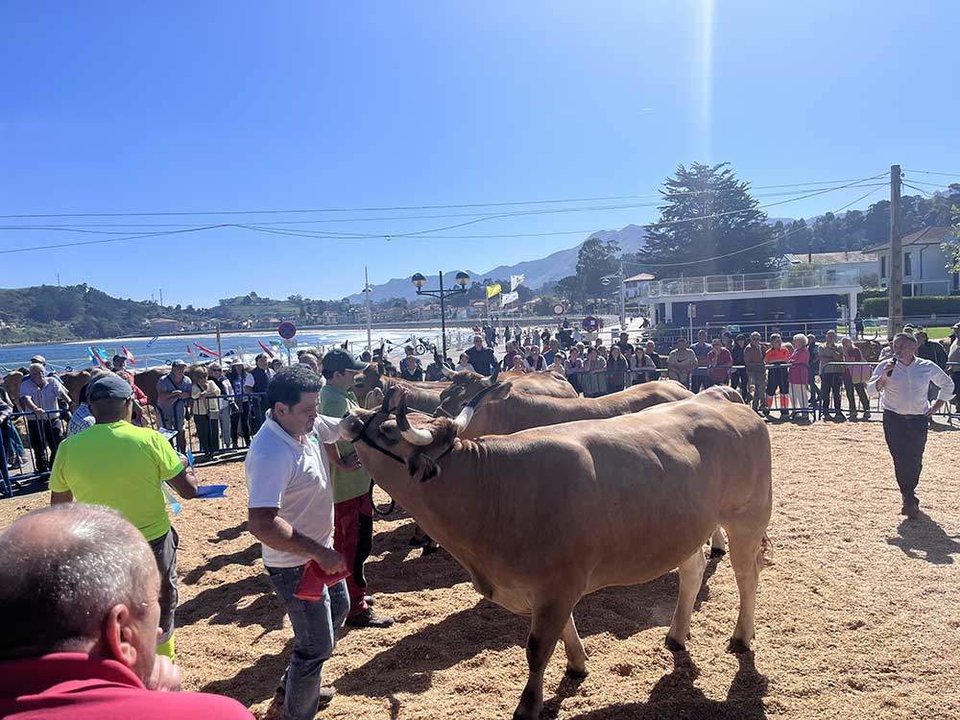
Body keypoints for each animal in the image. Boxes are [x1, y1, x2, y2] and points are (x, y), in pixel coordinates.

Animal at [340, 388, 772, 720]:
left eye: (387, 430)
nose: (349, 414)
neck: (488, 487)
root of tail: (722, 397)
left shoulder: (557, 584)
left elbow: (537, 648)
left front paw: (528, 706)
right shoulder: (548, 588)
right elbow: (563, 631)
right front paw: (577, 664)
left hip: (747, 517)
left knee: (747, 577)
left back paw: (741, 637)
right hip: (684, 528)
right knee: (693, 571)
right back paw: (677, 635)